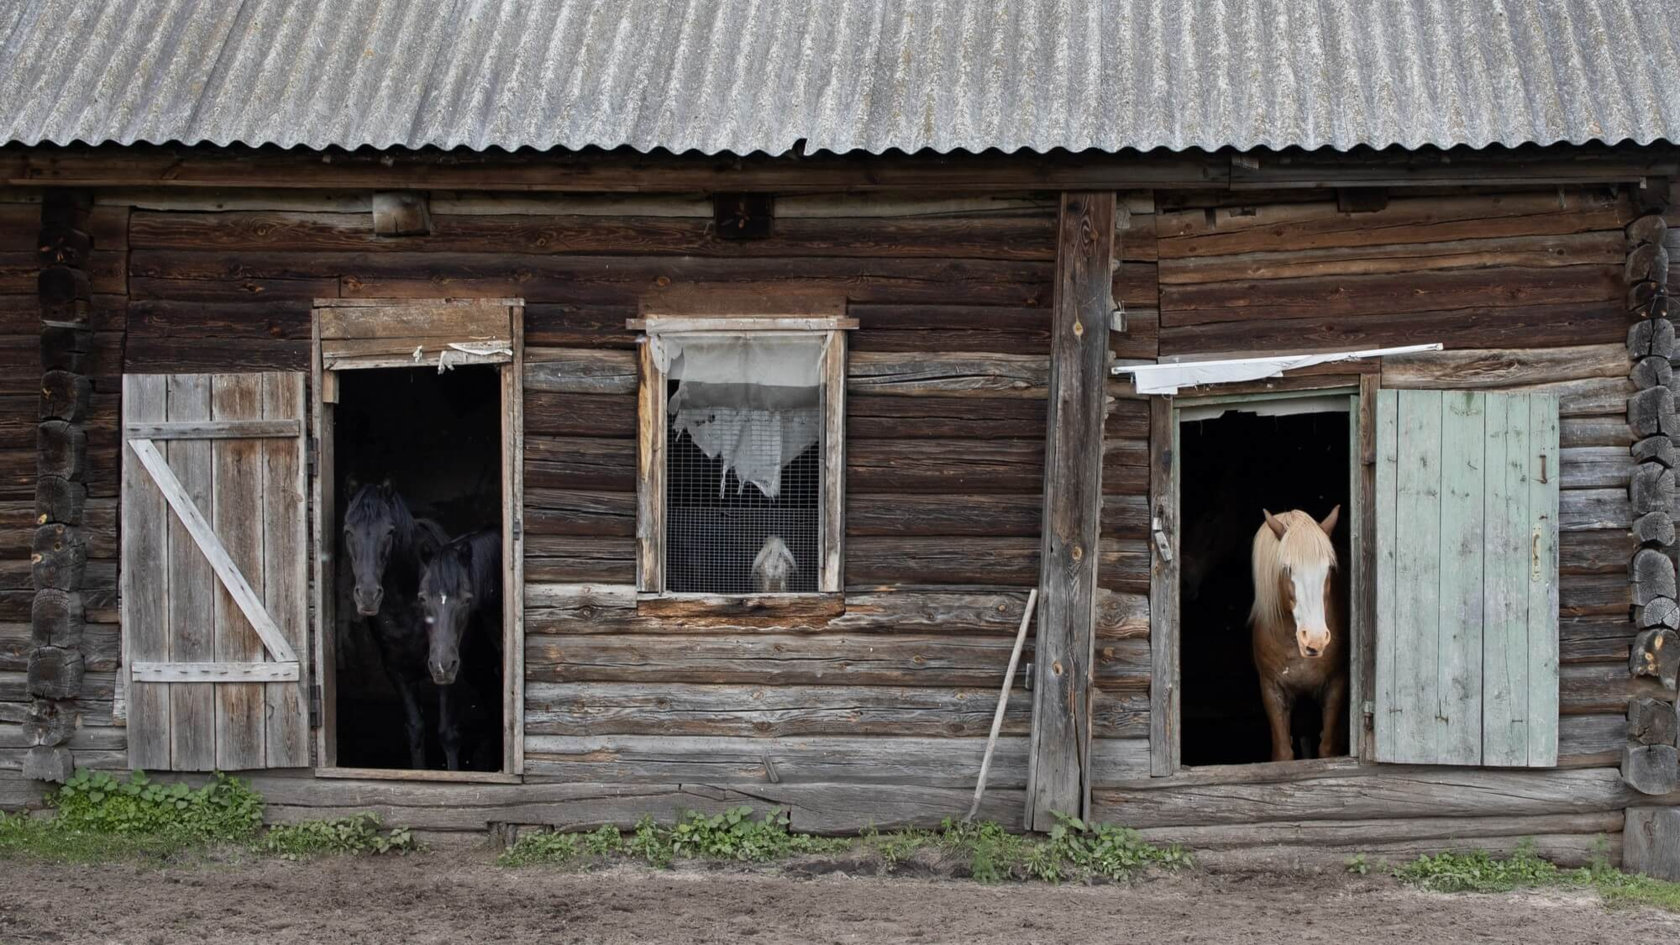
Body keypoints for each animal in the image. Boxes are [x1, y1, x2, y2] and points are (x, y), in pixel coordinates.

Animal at [339, 480, 446, 770]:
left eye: (389, 531)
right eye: (348, 530)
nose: (367, 595)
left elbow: (448, 731)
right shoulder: (397, 670)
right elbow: (416, 729)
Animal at [1249, 507, 1350, 756]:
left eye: (1329, 568)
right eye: (1287, 568)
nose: (1315, 639)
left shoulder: (1336, 686)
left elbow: (1327, 748)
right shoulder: (1272, 691)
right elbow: (1283, 752)